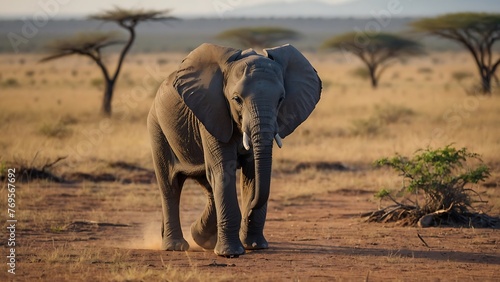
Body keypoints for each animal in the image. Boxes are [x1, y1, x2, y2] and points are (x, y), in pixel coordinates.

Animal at [147, 42, 320, 258]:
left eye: (281, 99)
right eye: (236, 99)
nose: (250, 208)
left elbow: (253, 174)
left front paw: (255, 246)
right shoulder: (213, 111)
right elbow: (224, 171)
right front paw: (230, 253)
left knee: (208, 183)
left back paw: (202, 239)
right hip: (157, 127)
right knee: (170, 185)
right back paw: (176, 246)